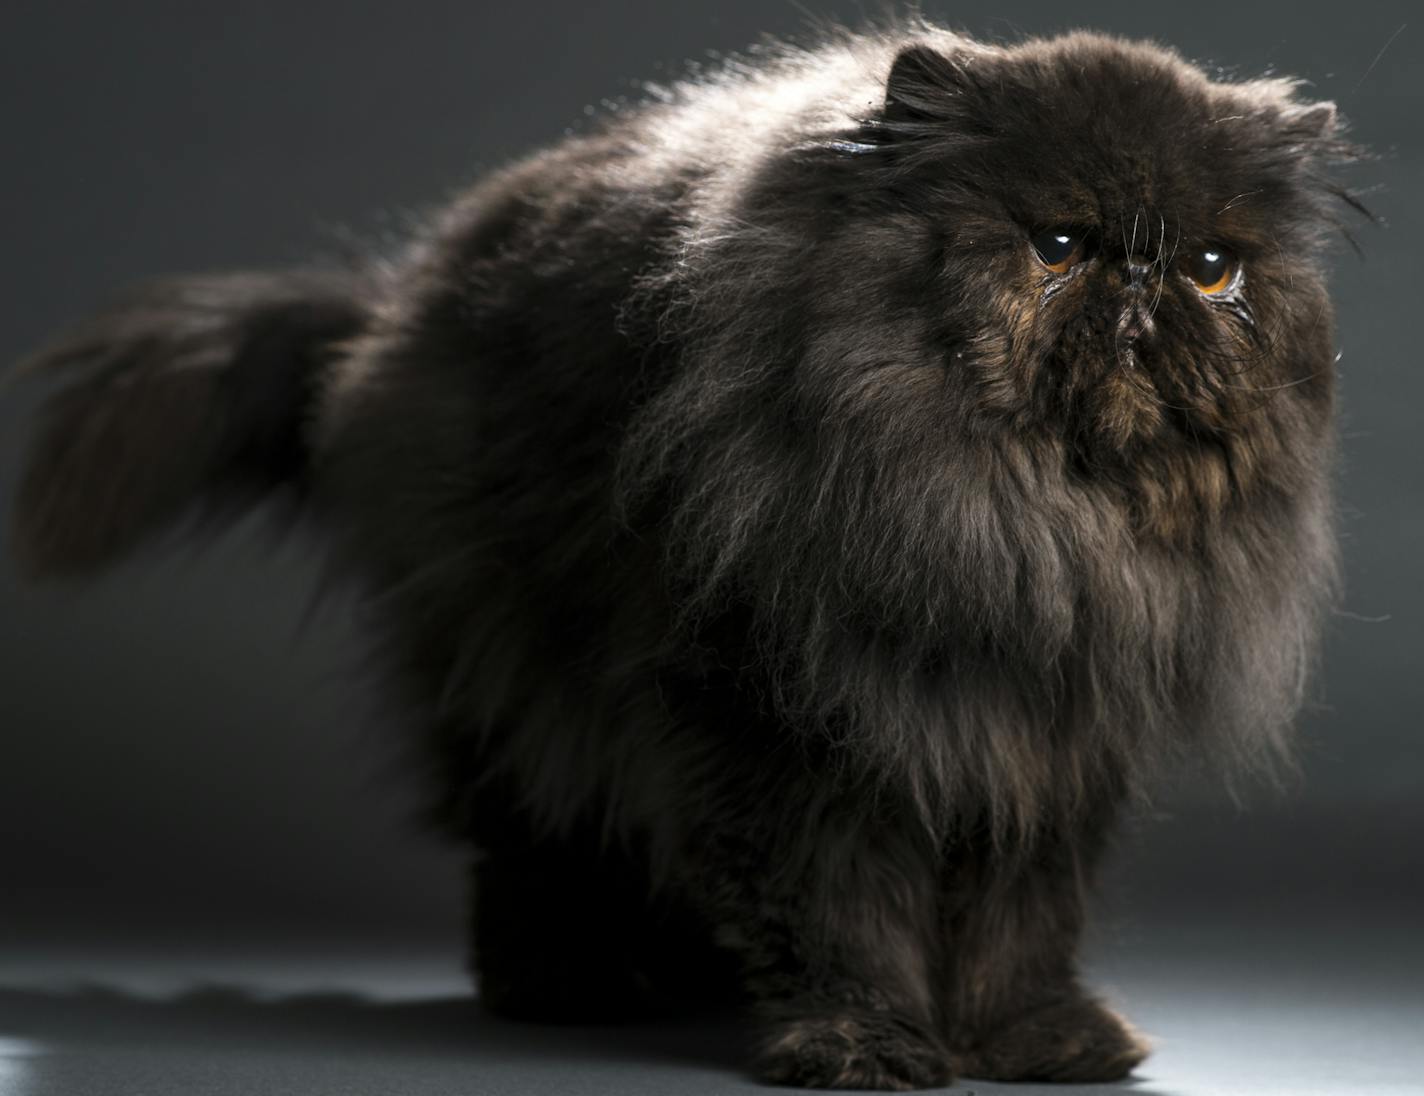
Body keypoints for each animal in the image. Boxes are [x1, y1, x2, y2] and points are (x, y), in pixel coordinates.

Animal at [13, 21, 1367, 1087]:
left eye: (1212, 267)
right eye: (1056, 248)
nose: (1141, 280)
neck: (1015, 528)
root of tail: (387, 316)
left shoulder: (1042, 735)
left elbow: (1020, 920)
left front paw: (1036, 1041)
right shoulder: (779, 718)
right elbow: (834, 907)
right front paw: (861, 1045)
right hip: (519, 670)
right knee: (535, 841)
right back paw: (563, 985)